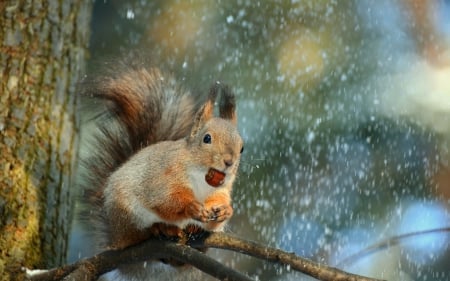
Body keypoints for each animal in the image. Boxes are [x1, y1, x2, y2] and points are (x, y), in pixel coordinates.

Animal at [79, 58, 244, 276]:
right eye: (207, 138)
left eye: (242, 148)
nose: (229, 162)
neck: (202, 180)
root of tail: (114, 237)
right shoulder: (163, 179)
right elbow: (165, 201)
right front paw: (191, 207)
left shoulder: (221, 190)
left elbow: (219, 204)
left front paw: (225, 211)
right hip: (127, 215)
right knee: (137, 235)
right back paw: (160, 229)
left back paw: (192, 230)